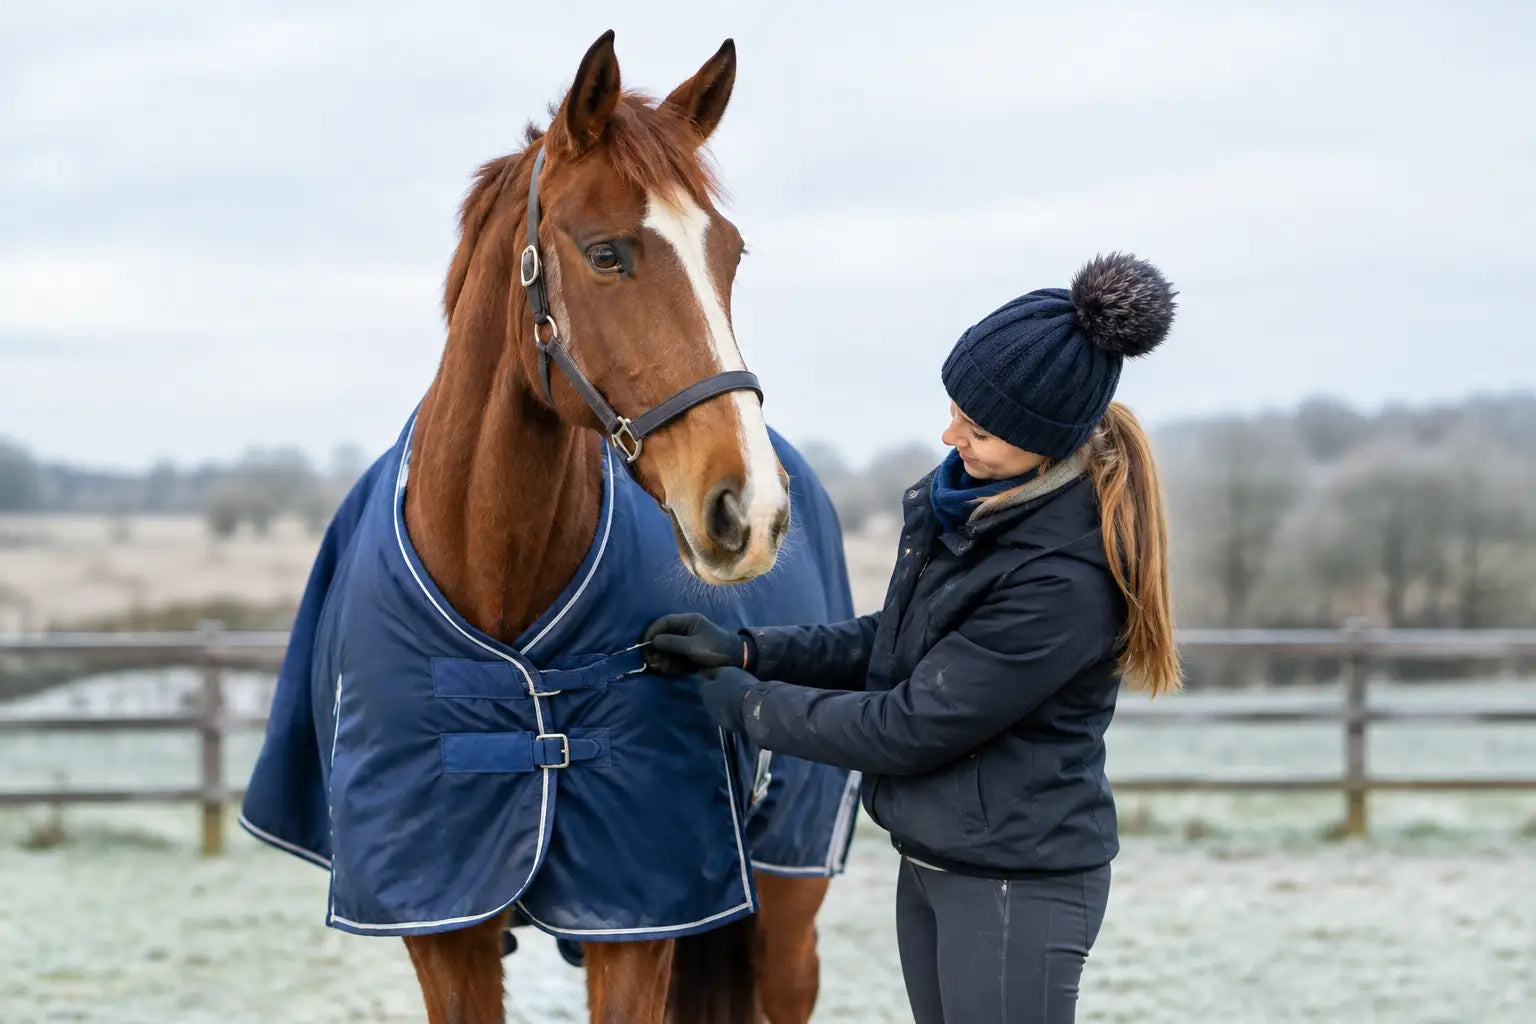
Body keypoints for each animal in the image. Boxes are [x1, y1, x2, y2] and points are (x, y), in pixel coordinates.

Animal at [238, 31, 859, 1024]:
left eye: (729, 254)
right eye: (607, 253)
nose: (752, 509)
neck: (500, 583)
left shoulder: (639, 921)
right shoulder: (442, 924)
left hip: (785, 899)